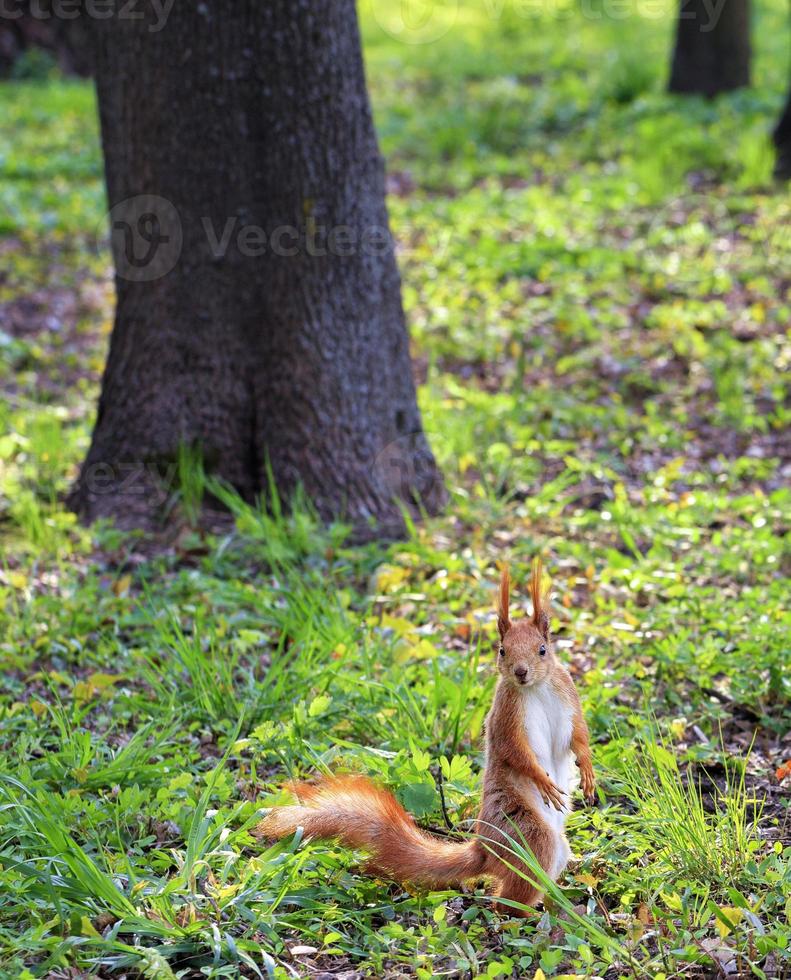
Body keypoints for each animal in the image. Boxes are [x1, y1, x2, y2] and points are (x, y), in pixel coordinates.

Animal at [256, 564, 596, 916]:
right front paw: (542, 781)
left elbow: (578, 735)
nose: (520, 672)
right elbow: (514, 752)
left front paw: (586, 768)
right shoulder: (506, 716)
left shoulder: (568, 696)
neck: (536, 689)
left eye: (543, 649)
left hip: (554, 848)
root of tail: (484, 850)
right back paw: (527, 914)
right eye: (502, 650)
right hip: (528, 834)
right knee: (507, 897)